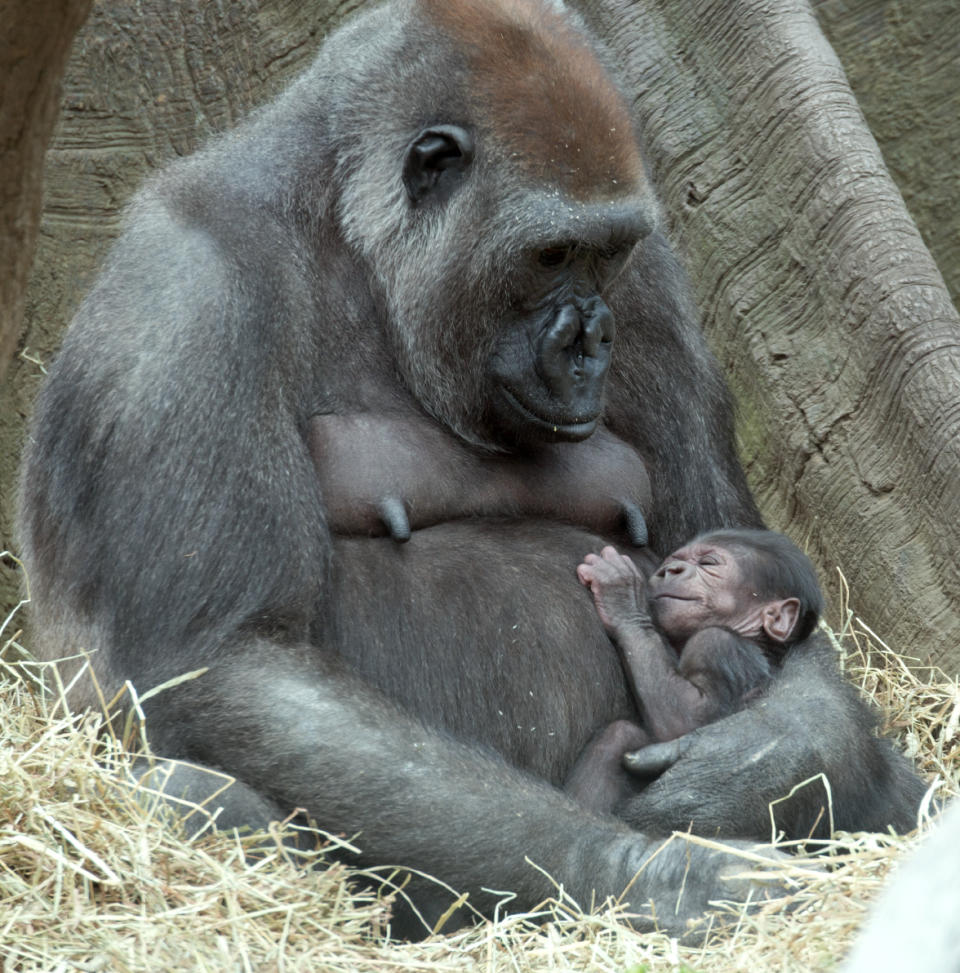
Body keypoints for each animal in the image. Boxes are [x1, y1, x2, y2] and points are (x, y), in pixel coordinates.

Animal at [568, 528, 820, 816]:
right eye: (673, 560)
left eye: (708, 563)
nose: (671, 570)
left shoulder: (715, 645)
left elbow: (685, 720)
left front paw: (622, 598)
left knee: (619, 735)